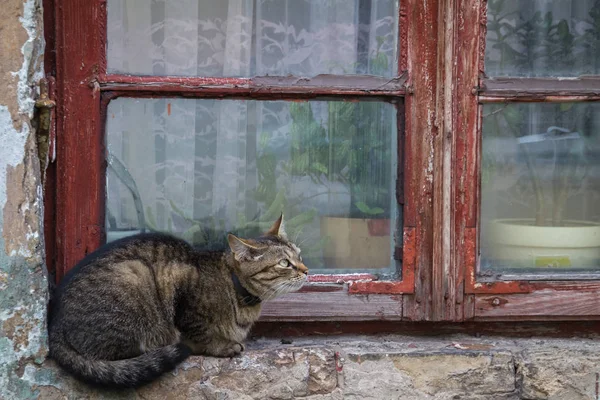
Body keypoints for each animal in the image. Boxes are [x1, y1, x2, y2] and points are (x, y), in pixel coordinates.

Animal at [47, 216, 308, 388]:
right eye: (284, 263)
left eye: (299, 255)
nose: (306, 270)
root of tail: (54, 325)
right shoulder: (180, 284)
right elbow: (200, 331)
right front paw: (221, 345)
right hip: (135, 274)